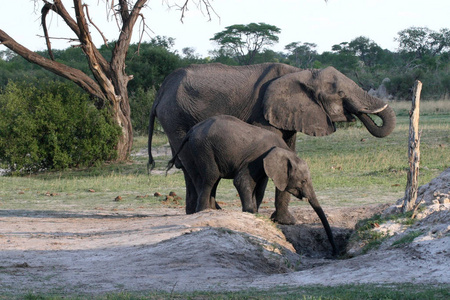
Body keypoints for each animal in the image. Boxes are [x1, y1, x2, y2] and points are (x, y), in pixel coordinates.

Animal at [148, 62, 394, 224]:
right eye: (341, 93)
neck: (301, 73)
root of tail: (160, 91)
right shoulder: (264, 112)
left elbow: (287, 151)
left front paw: (284, 221)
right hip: (176, 117)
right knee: (189, 166)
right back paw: (205, 211)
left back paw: (204, 211)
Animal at [167, 115, 336, 255]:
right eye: (303, 181)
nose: (334, 252)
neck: (284, 150)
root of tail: (191, 131)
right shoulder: (255, 159)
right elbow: (241, 181)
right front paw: (251, 212)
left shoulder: (263, 164)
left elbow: (260, 187)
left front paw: (255, 212)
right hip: (204, 148)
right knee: (211, 176)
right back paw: (203, 210)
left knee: (209, 178)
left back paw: (211, 210)